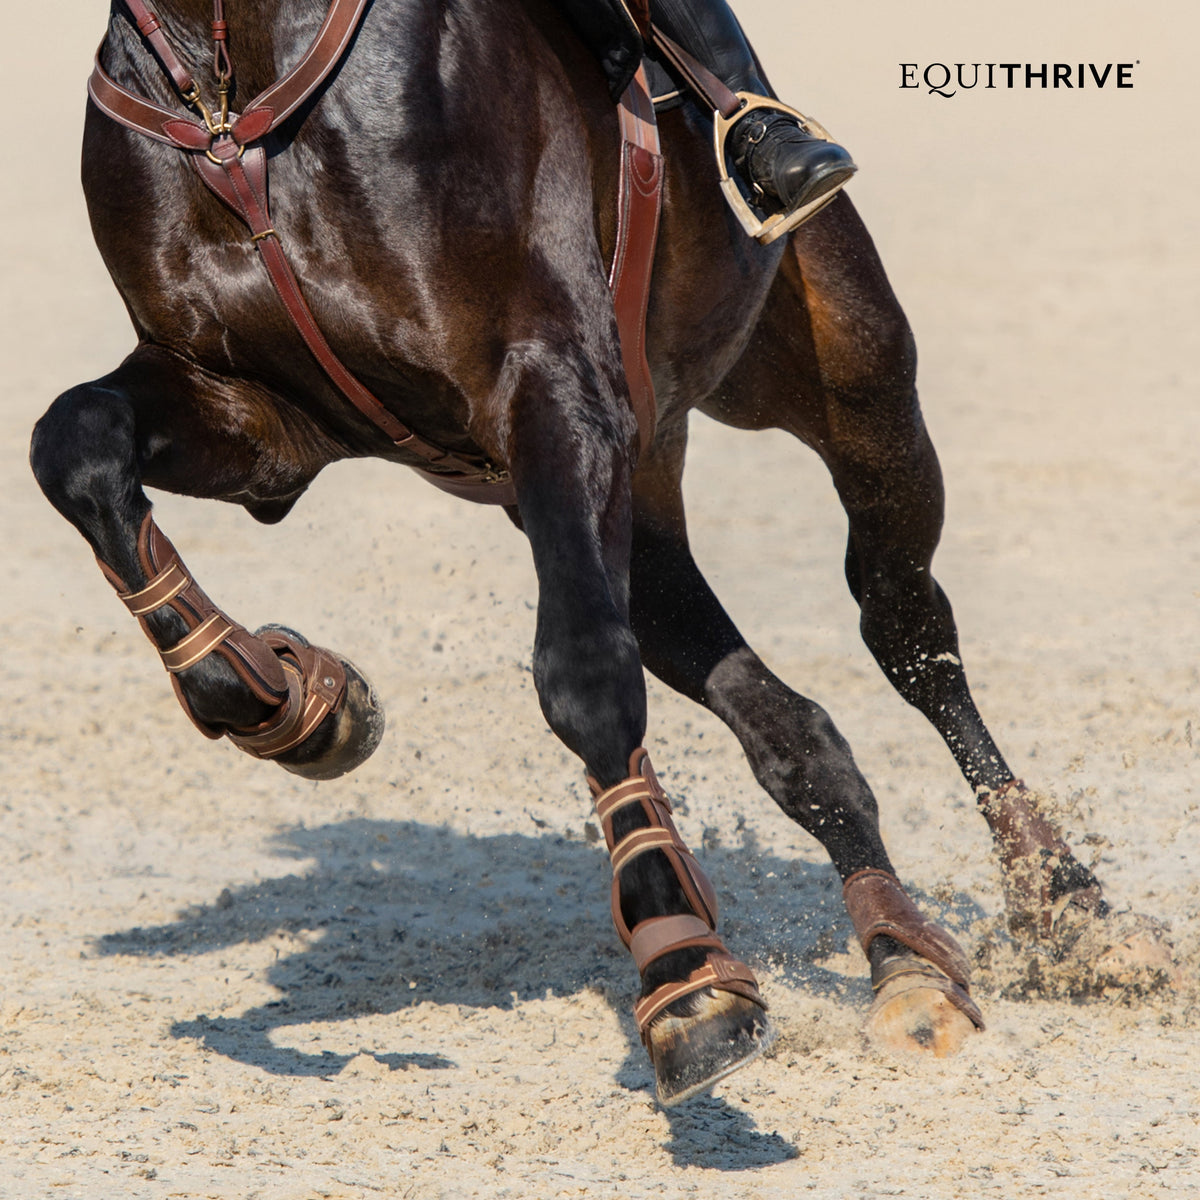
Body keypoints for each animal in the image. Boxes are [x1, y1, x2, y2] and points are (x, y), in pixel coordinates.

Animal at [29, 0, 1155, 1107]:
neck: (233, 102)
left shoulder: (554, 391)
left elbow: (583, 675)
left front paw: (684, 971)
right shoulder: (263, 422)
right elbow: (74, 442)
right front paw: (293, 698)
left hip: (855, 385)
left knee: (909, 634)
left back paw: (1064, 905)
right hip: (636, 492)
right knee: (792, 730)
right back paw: (904, 955)